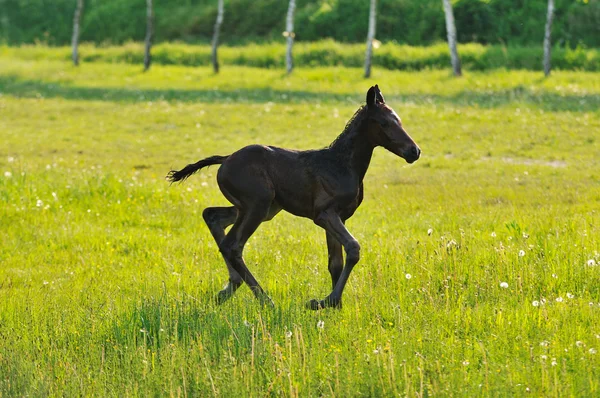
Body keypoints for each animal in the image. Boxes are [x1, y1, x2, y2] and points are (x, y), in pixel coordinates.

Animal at [168, 85, 422, 310]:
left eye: (399, 120)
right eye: (384, 123)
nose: (414, 151)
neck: (342, 164)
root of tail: (226, 159)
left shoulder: (340, 217)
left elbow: (335, 262)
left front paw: (335, 307)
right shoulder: (324, 215)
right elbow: (353, 248)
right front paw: (323, 302)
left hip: (261, 208)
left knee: (213, 217)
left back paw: (229, 288)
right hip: (257, 205)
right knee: (232, 245)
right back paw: (265, 300)